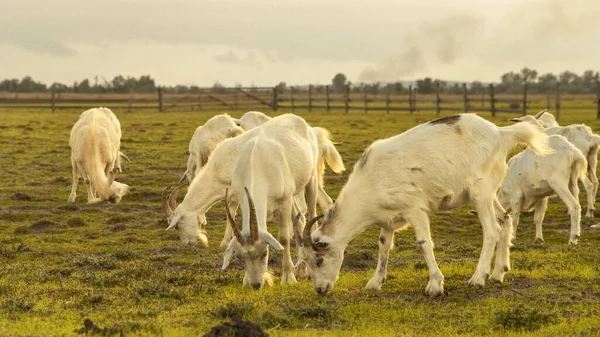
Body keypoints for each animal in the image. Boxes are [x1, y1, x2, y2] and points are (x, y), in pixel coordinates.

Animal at [163, 113, 346, 247]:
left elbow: (231, 212)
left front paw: (225, 242)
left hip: (311, 178)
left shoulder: (235, 192)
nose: (188, 243)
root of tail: (313, 132)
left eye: (177, 225)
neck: (217, 167)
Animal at [220, 112, 322, 286]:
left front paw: (288, 277)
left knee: (311, 217)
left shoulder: (284, 201)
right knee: (300, 220)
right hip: (292, 193)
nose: (255, 285)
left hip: (310, 180)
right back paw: (301, 270)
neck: (256, 163)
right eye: (240, 258)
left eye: (264, 253)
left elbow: (284, 237)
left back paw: (306, 270)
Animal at [298, 114, 552, 296]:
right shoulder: (388, 218)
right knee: (505, 219)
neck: (370, 182)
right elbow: (383, 245)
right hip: (488, 194)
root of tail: (501, 134)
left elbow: (423, 243)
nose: (320, 290)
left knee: (491, 229)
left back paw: (478, 278)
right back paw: (499, 273)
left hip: (481, 191)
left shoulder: (415, 208)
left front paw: (435, 285)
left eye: (319, 259)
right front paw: (375, 282)